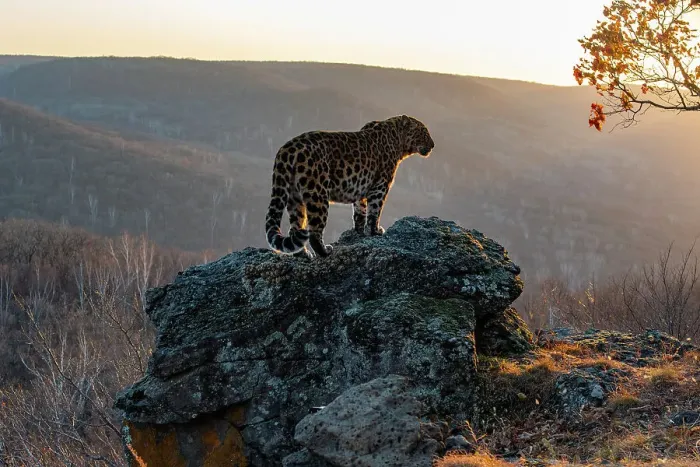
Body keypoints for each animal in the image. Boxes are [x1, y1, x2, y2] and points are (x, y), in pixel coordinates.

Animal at [265, 114, 435, 259]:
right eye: (423, 132)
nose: (433, 145)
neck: (399, 141)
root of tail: (286, 150)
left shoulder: (362, 189)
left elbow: (360, 212)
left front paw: (360, 232)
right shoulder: (380, 186)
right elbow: (375, 210)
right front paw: (375, 231)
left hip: (294, 197)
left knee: (295, 228)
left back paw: (304, 254)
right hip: (317, 194)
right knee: (314, 231)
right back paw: (325, 251)